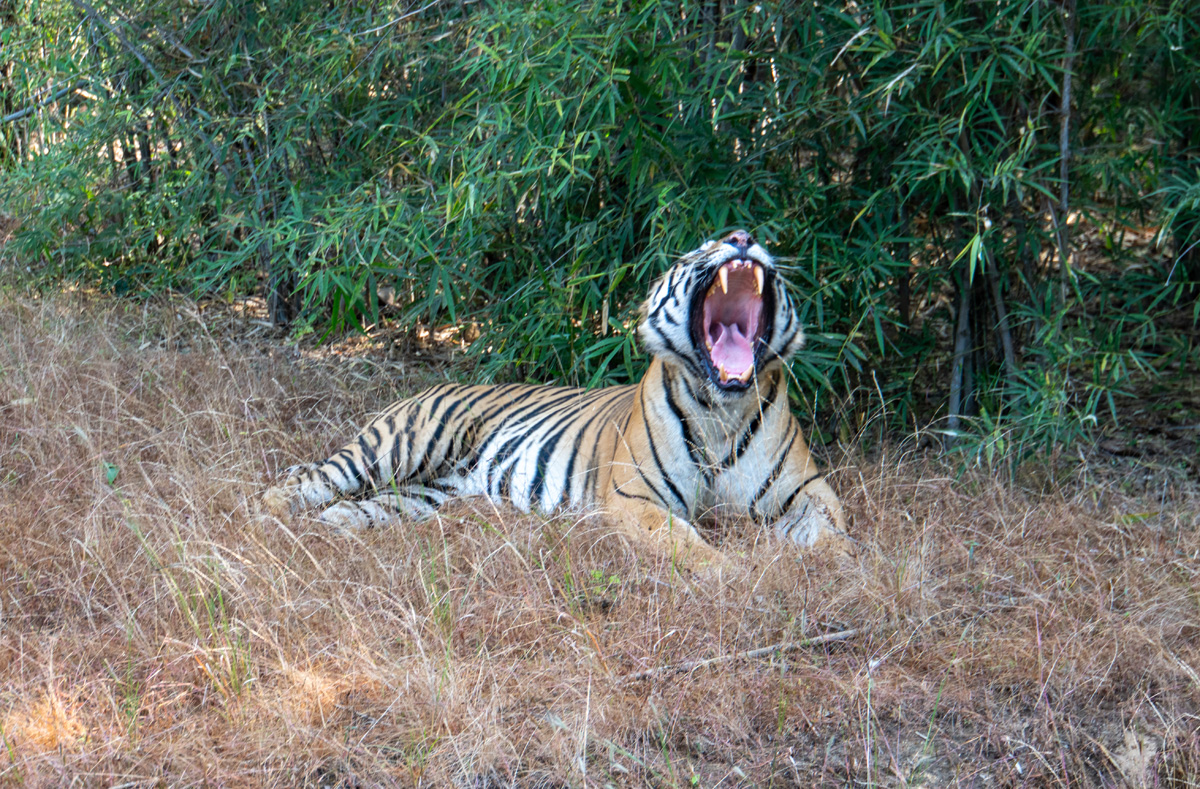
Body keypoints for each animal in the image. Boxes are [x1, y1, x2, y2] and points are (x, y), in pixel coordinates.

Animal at [264, 230, 848, 564]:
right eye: (701, 250)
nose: (743, 237)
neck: (722, 407)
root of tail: (428, 385)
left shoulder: (808, 490)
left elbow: (842, 536)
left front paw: (849, 569)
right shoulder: (636, 498)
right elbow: (688, 545)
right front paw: (731, 574)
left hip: (423, 492)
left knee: (353, 507)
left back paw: (329, 529)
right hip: (398, 446)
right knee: (307, 481)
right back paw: (267, 519)